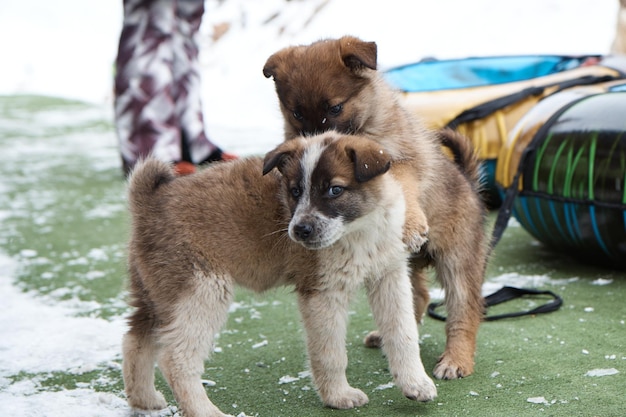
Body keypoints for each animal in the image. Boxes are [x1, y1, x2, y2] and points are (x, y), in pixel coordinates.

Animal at [120, 132, 434, 416]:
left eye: (334, 190)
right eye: (295, 191)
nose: (300, 230)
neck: (358, 231)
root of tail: (150, 199)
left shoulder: (389, 278)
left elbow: (403, 334)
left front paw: (415, 384)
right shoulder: (322, 293)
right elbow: (331, 353)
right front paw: (338, 396)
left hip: (158, 294)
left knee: (136, 340)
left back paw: (145, 399)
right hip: (201, 291)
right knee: (175, 358)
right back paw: (204, 411)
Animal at [264, 37, 488, 378]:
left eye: (335, 108)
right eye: (297, 113)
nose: (316, 143)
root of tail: (469, 183)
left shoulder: (402, 162)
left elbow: (403, 184)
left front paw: (411, 222)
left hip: (457, 259)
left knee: (464, 310)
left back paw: (456, 359)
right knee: (418, 296)